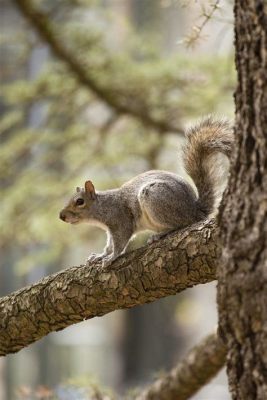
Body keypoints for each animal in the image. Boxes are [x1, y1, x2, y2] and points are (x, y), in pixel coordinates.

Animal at [59, 116, 233, 266]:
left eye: (79, 201)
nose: (61, 216)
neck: (102, 206)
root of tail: (194, 209)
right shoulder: (110, 230)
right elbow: (109, 244)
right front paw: (100, 255)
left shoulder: (120, 219)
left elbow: (120, 242)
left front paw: (111, 257)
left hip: (154, 198)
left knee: (181, 223)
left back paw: (159, 235)